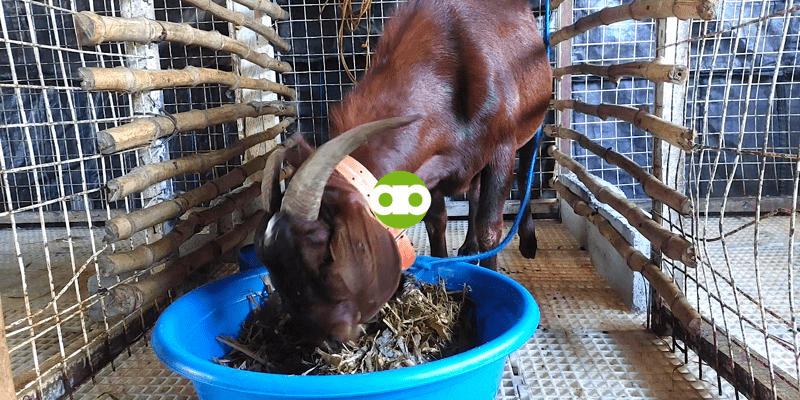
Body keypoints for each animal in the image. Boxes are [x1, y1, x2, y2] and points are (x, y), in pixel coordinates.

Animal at [255, 0, 552, 344]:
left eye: (328, 256)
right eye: (269, 264)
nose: (325, 338)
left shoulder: (500, 149)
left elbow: (490, 229)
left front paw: (490, 272)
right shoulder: (431, 167)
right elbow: (436, 222)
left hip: (532, 124)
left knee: (525, 169)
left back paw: (527, 241)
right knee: (475, 191)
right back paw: (467, 248)